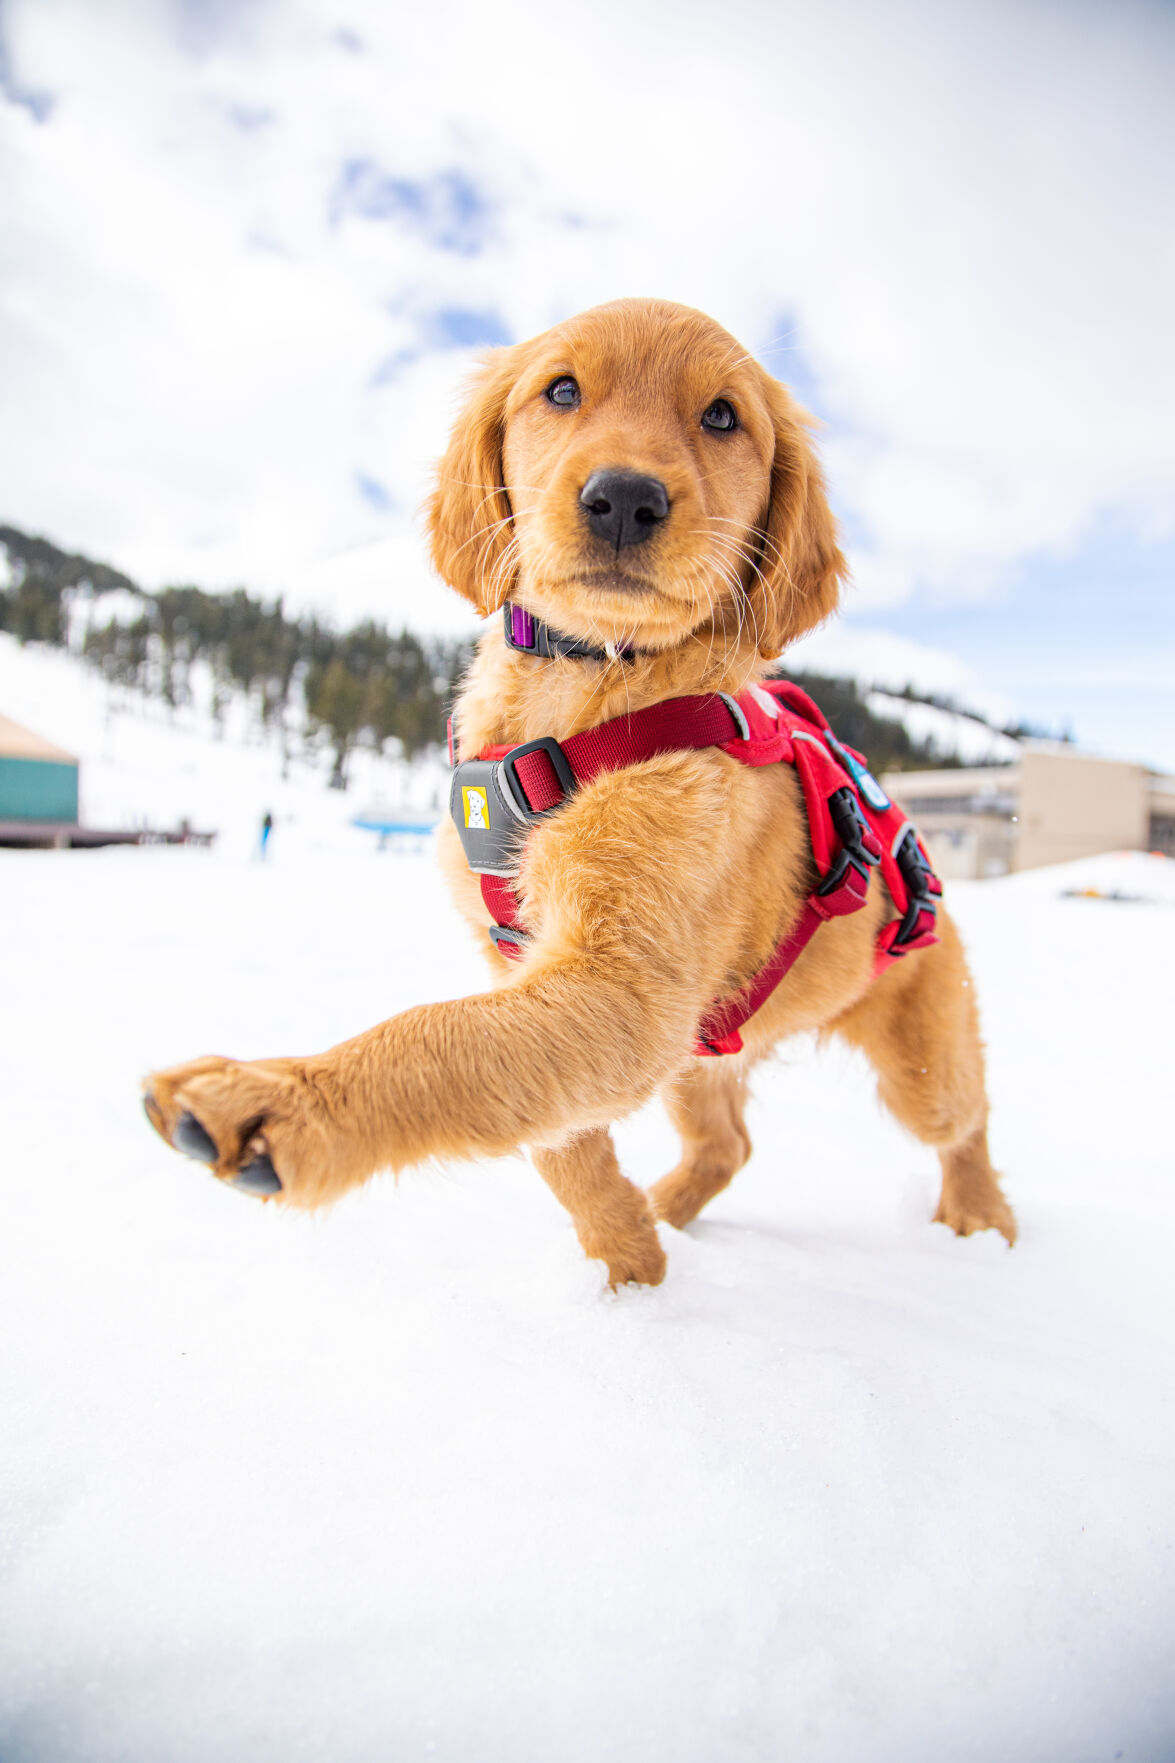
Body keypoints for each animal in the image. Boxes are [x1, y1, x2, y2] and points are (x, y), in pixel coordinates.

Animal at [142, 296, 1009, 1276]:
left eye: (722, 416)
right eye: (560, 390)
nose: (625, 498)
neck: (584, 685)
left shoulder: (623, 987)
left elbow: (442, 1037)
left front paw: (281, 1100)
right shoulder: (537, 968)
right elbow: (546, 1128)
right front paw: (628, 1255)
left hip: (918, 1057)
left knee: (966, 1120)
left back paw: (983, 1223)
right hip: (703, 1056)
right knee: (727, 1143)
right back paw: (667, 1213)